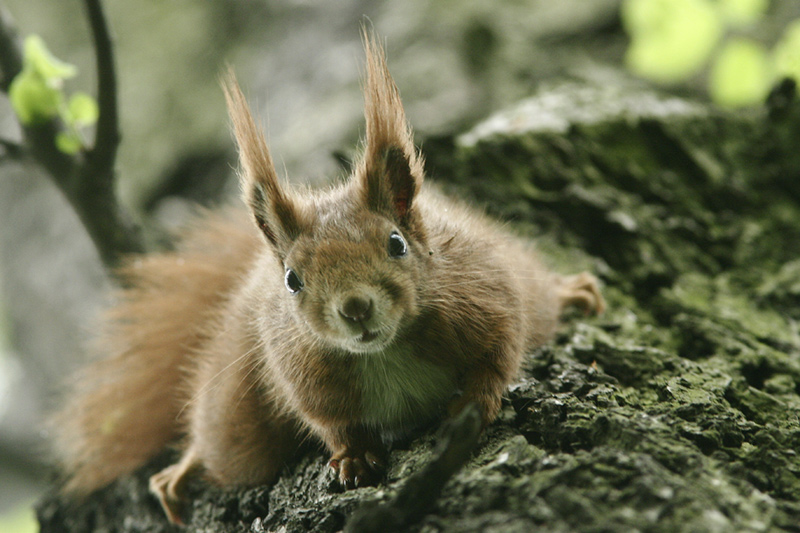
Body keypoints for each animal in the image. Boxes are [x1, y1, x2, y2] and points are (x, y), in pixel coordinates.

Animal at [51, 33, 600, 524]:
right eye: (293, 279)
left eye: (396, 244)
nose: (355, 307)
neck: (385, 352)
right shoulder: (302, 374)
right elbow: (332, 423)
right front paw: (353, 456)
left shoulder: (490, 300)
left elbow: (497, 362)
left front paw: (473, 402)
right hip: (237, 413)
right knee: (225, 446)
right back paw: (183, 469)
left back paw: (573, 292)